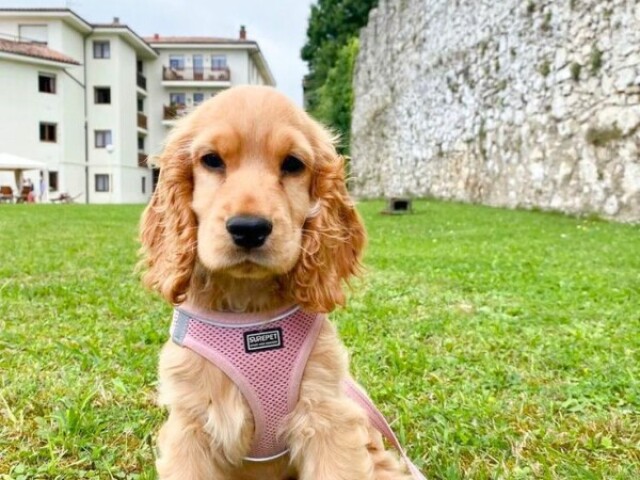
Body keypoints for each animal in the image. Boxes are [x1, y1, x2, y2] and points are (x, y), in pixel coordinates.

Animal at [140, 86, 422, 480]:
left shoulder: (327, 417)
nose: (249, 228)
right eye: (211, 160)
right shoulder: (190, 426)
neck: (250, 312)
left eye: (292, 164)